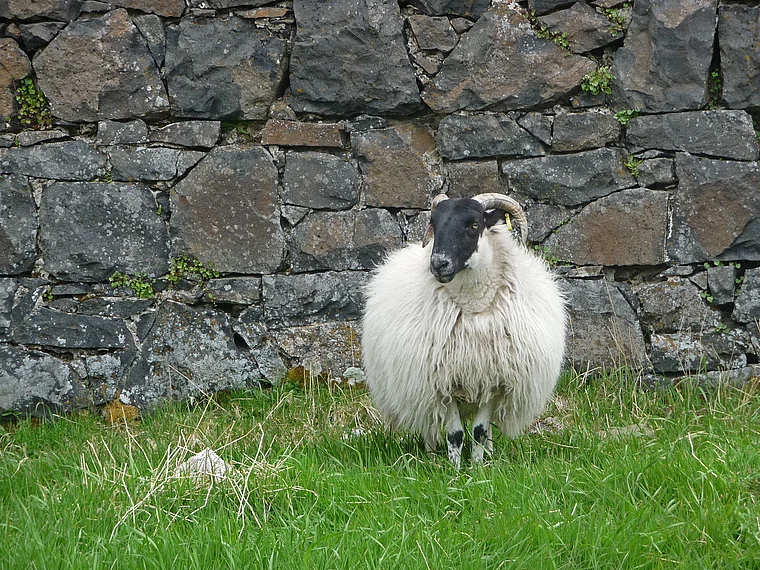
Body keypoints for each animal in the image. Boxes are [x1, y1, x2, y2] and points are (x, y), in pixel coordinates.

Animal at [361, 193, 567, 468]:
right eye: (434, 223)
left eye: (474, 225)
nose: (438, 264)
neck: (474, 309)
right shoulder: (442, 384)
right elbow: (455, 434)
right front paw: (455, 469)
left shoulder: (495, 383)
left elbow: (479, 431)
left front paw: (478, 468)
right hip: (420, 388)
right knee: (429, 425)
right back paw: (431, 455)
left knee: (486, 430)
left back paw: (488, 453)